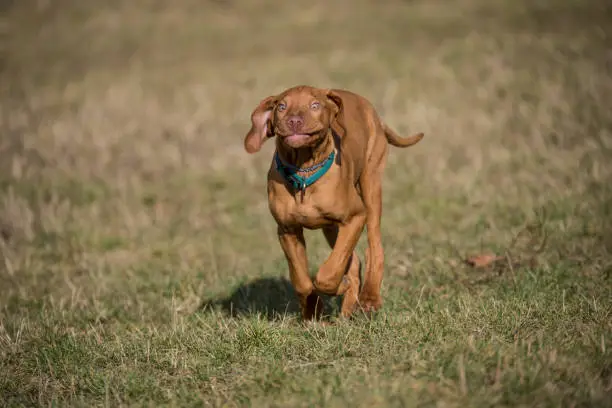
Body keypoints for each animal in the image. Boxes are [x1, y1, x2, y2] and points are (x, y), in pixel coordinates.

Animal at [241, 85, 424, 318]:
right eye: (281, 107)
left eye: (315, 105)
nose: (294, 121)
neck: (304, 172)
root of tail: (372, 111)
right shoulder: (287, 230)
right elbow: (302, 280)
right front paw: (313, 313)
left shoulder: (356, 216)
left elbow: (328, 273)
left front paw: (339, 286)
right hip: (331, 227)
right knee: (353, 261)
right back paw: (347, 310)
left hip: (371, 186)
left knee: (374, 248)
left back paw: (369, 298)